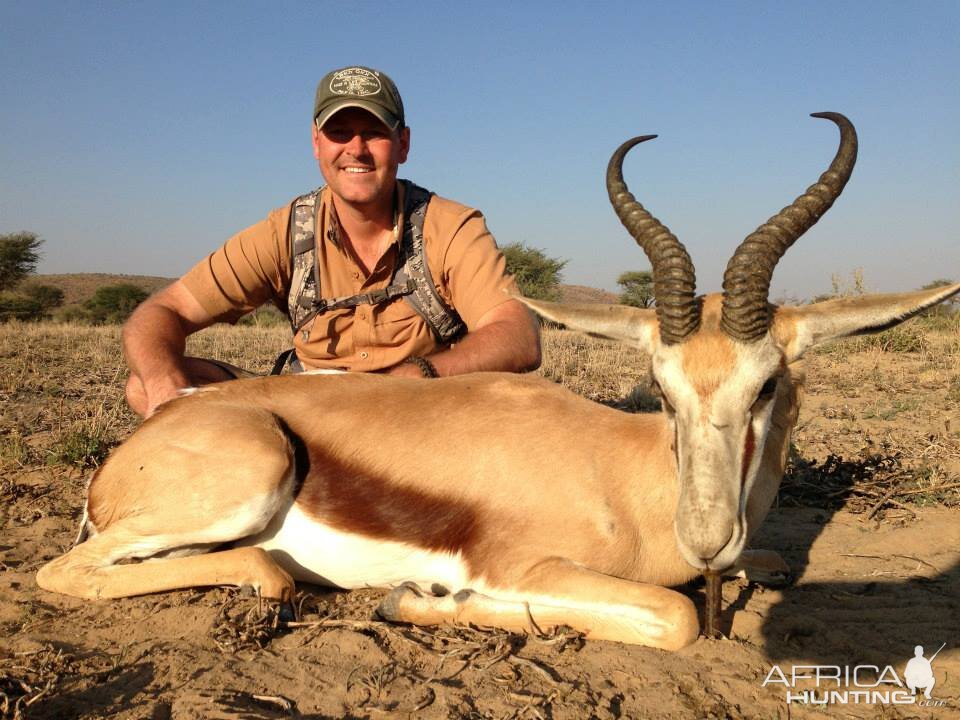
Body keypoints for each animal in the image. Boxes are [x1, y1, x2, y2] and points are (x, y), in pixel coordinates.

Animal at [35, 112, 952, 652]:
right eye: (659, 387)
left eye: (765, 386)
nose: (706, 540)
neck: (629, 479)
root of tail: (141, 441)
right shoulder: (523, 567)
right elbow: (679, 614)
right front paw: (414, 600)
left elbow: (753, 573)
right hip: (249, 479)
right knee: (72, 573)